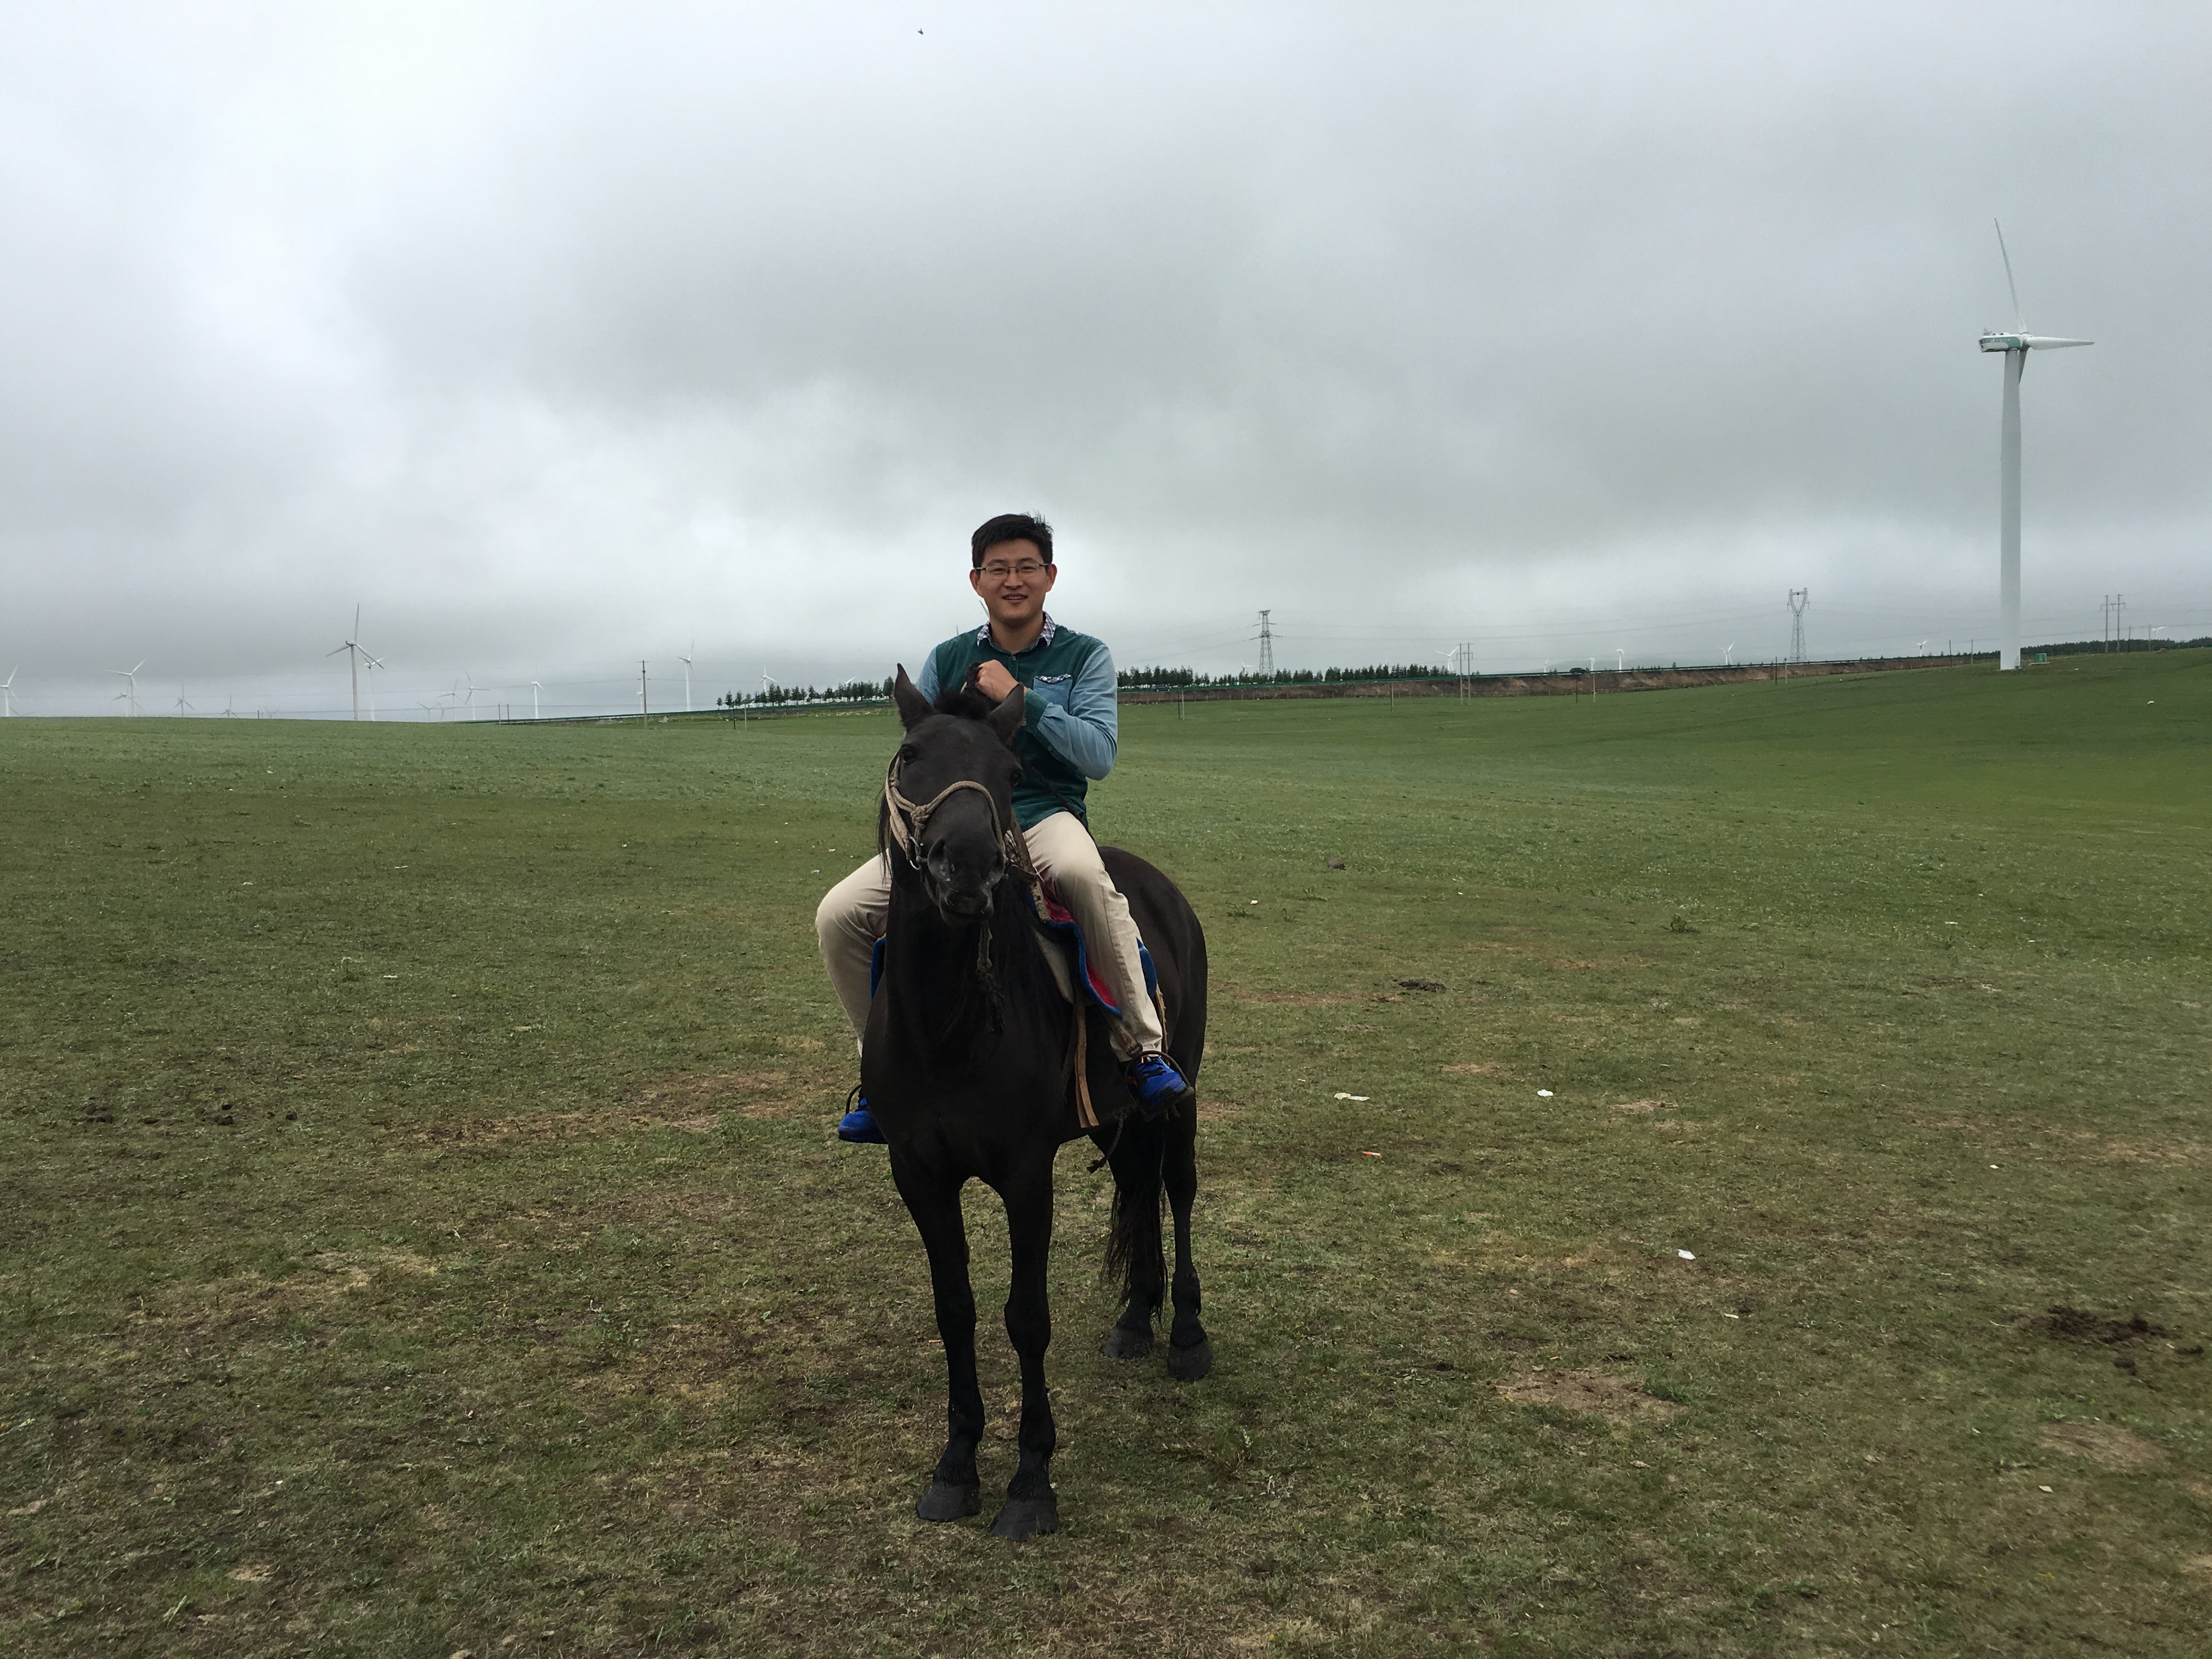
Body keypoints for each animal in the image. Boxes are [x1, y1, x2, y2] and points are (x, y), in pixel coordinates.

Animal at [860, 665, 1212, 1541]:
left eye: (1010, 769)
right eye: (911, 755)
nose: (968, 866)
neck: (946, 1022)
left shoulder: (1026, 1175)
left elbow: (1026, 1316)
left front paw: (1030, 1481)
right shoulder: (919, 1174)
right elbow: (954, 1308)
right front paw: (956, 1466)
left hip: (1178, 1096)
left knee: (1178, 1191)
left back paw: (1187, 1335)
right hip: (1120, 1119)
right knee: (1137, 1187)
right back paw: (1135, 1320)